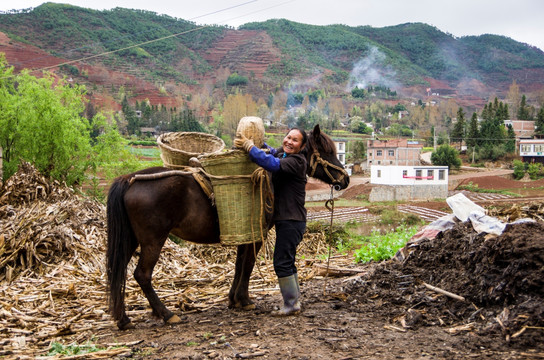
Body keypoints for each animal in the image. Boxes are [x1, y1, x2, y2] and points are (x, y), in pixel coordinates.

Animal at [107, 124, 350, 330]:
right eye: (327, 151)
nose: (345, 179)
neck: (272, 179)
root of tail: (130, 178)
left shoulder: (244, 233)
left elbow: (239, 265)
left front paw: (234, 299)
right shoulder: (257, 235)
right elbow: (248, 265)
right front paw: (244, 300)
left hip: (131, 240)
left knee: (118, 272)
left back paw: (123, 319)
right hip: (153, 240)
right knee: (142, 275)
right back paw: (166, 314)